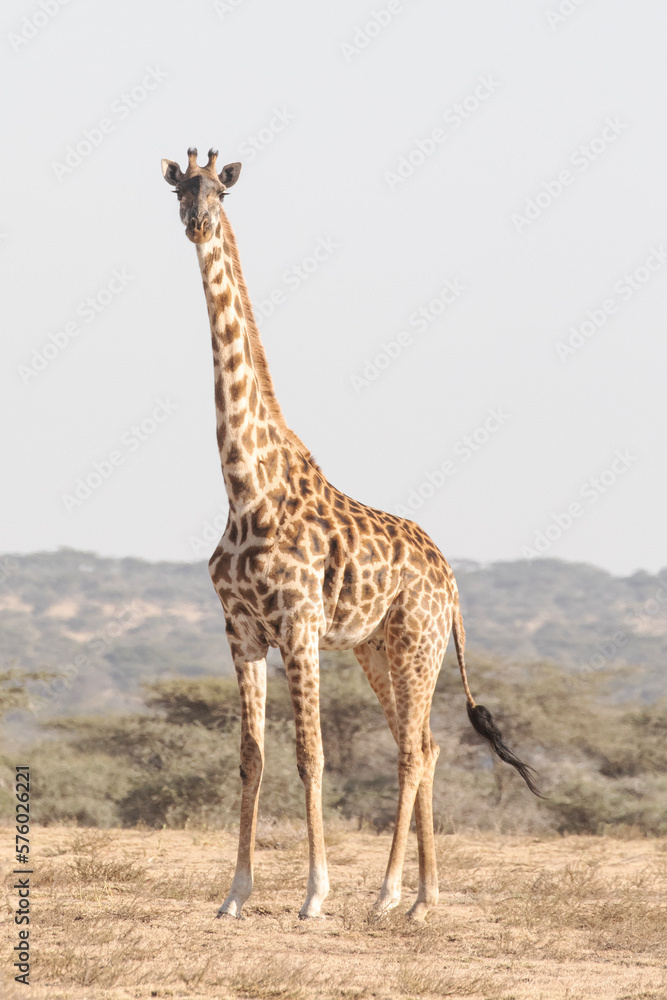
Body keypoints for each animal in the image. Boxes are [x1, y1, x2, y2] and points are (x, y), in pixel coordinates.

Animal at [161, 147, 540, 922]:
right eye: (179, 190)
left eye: (220, 191)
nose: (196, 223)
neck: (245, 485)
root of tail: (451, 580)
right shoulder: (241, 629)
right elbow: (251, 757)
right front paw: (234, 895)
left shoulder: (300, 623)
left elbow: (311, 755)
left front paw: (314, 894)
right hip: (377, 647)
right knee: (424, 742)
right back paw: (422, 896)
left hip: (419, 641)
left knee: (412, 749)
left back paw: (390, 894)